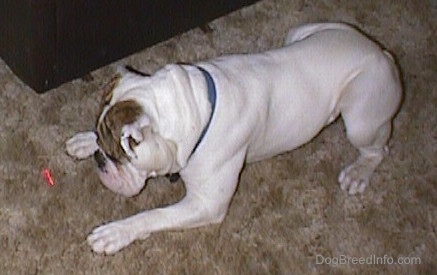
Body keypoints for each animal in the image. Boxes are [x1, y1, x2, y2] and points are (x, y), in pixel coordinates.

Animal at [65, 23, 402, 254]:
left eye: (117, 157)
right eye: (104, 148)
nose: (99, 160)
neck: (193, 108)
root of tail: (381, 52)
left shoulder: (206, 204)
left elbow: (154, 215)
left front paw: (116, 233)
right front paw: (85, 141)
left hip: (359, 119)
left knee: (379, 149)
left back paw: (359, 173)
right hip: (300, 32)